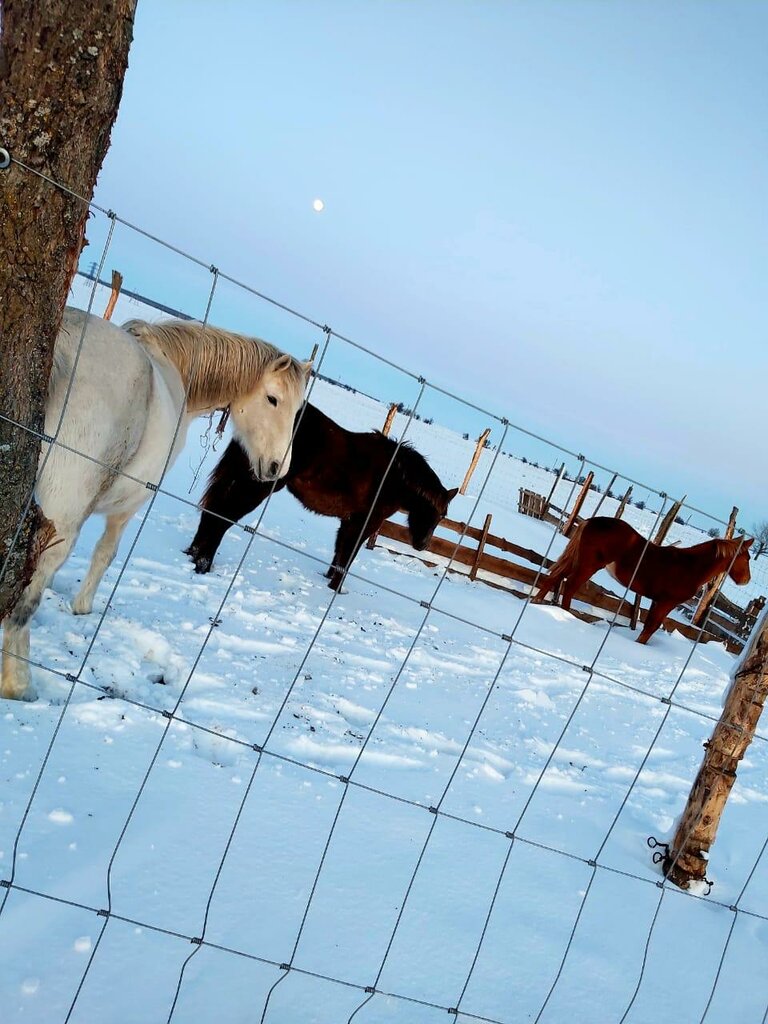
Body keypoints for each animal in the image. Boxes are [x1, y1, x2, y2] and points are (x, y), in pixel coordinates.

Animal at [3, 307, 309, 700]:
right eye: (273, 399)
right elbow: (105, 554)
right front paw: (82, 607)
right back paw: (19, 684)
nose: (277, 468)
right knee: (28, 594)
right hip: (63, 514)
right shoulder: (127, 507)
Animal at [185, 401, 456, 589]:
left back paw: (193, 555)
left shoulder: (348, 522)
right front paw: (336, 589)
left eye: (443, 516)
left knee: (214, 510)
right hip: (256, 487)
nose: (422, 545)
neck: (394, 475)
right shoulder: (365, 523)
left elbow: (339, 553)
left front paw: (327, 581)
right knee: (222, 516)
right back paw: (203, 564)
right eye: (434, 512)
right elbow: (347, 558)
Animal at [532, 516, 753, 643]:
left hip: (578, 560)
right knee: (569, 585)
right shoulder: (667, 602)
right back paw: (566, 615)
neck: (692, 566)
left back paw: (538, 602)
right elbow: (651, 628)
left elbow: (648, 624)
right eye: (747, 557)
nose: (746, 580)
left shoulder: (656, 600)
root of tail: (590, 521)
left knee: (556, 577)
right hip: (588, 565)